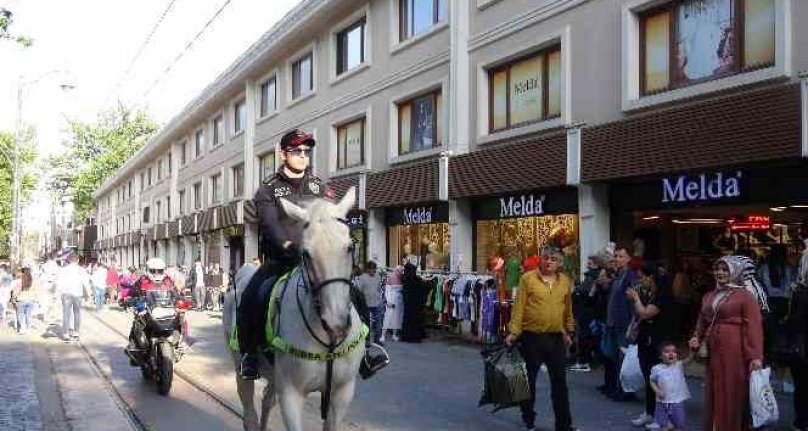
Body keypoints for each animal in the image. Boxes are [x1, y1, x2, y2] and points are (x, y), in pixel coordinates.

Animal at [221, 189, 360, 431]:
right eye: (306, 253)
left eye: (350, 247)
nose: (336, 323)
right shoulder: (291, 394)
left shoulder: (342, 392)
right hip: (240, 365)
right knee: (249, 412)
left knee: (267, 399)